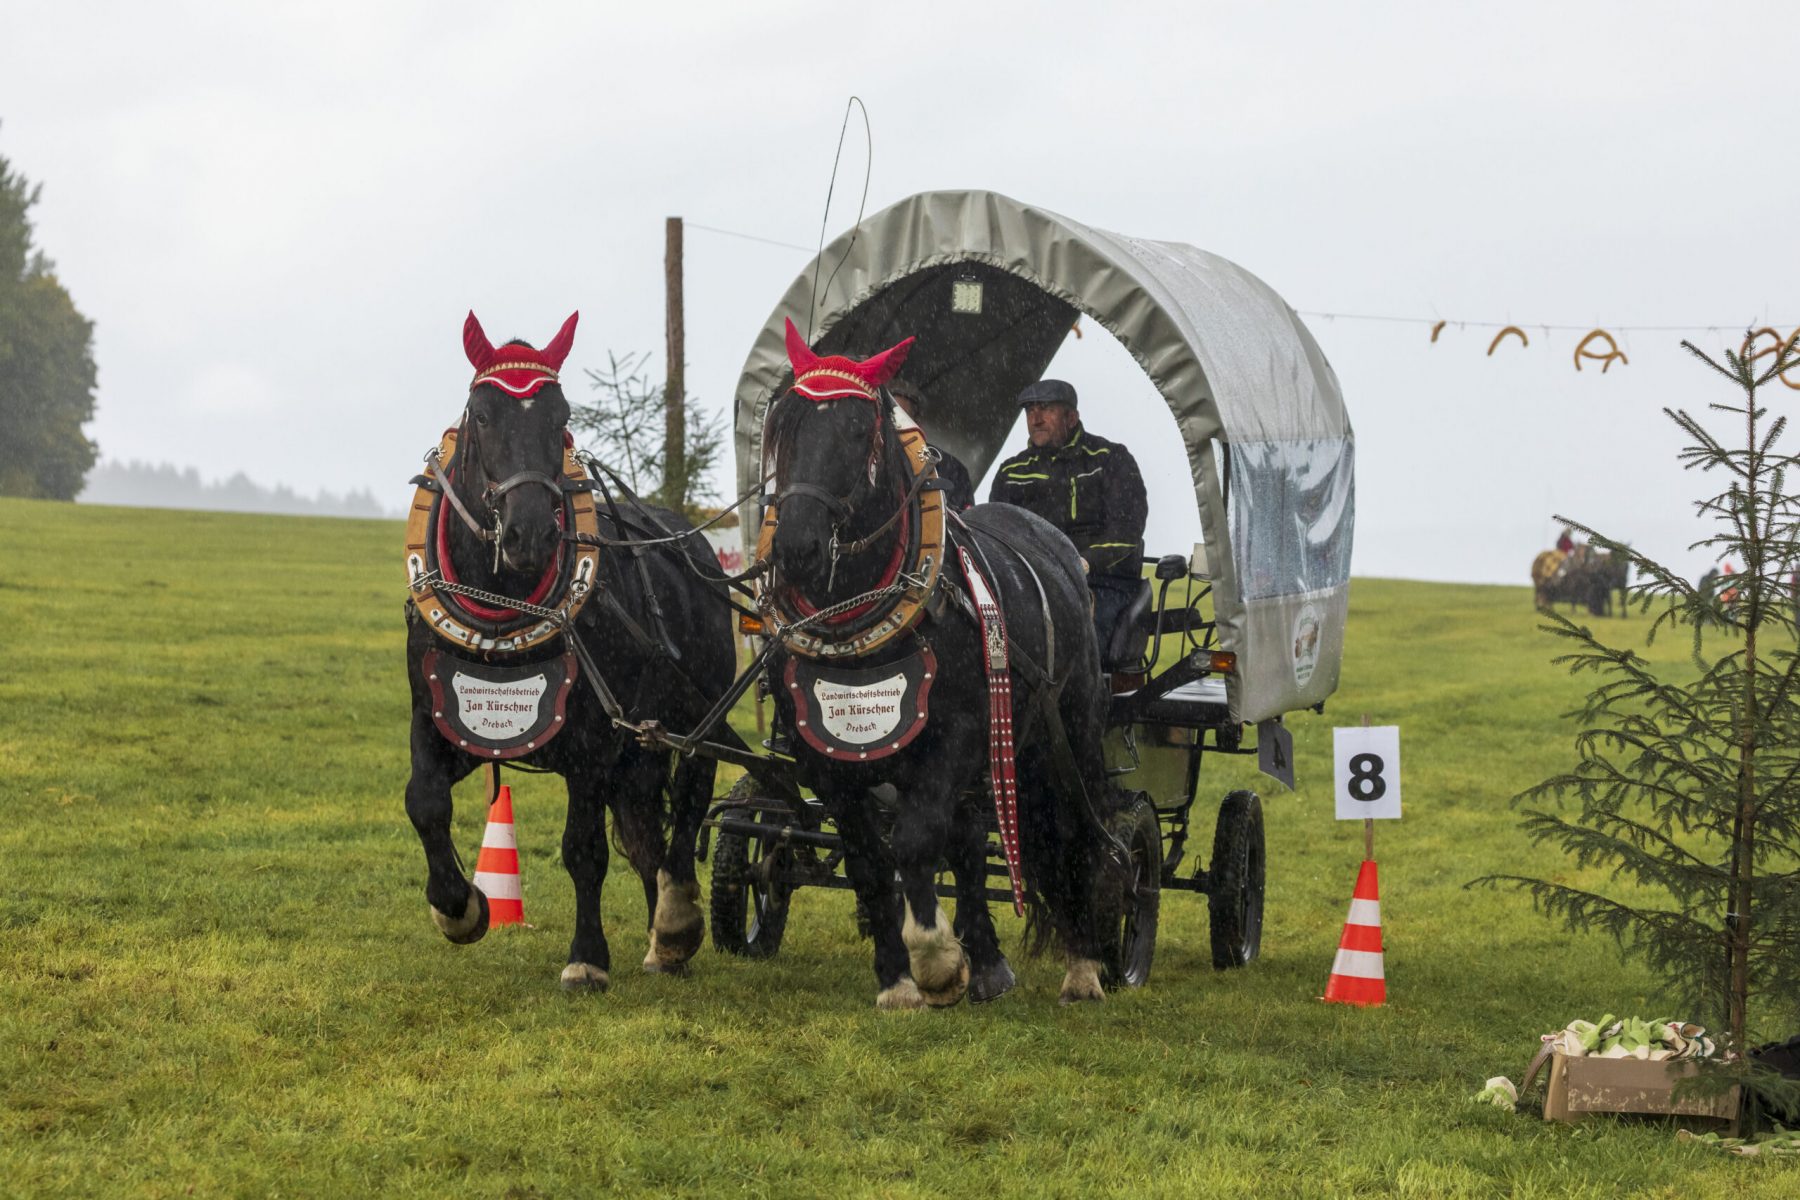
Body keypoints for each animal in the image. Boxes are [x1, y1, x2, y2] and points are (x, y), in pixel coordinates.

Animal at [401, 311, 735, 990]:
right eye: (483, 414)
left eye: (560, 415)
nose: (530, 532)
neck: (505, 607)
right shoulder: (442, 713)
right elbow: (424, 802)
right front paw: (459, 908)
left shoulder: (591, 744)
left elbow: (583, 849)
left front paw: (587, 956)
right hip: (639, 746)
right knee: (646, 832)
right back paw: (661, 941)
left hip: (693, 723)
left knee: (687, 813)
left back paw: (676, 922)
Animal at [758, 320, 1115, 1009]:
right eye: (783, 423)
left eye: (858, 431)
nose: (796, 546)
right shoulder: (827, 762)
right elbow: (872, 862)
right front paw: (899, 980)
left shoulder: (955, 736)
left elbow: (916, 842)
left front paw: (935, 961)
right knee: (973, 836)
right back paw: (992, 964)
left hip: (1068, 730)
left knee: (1074, 833)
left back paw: (1084, 965)